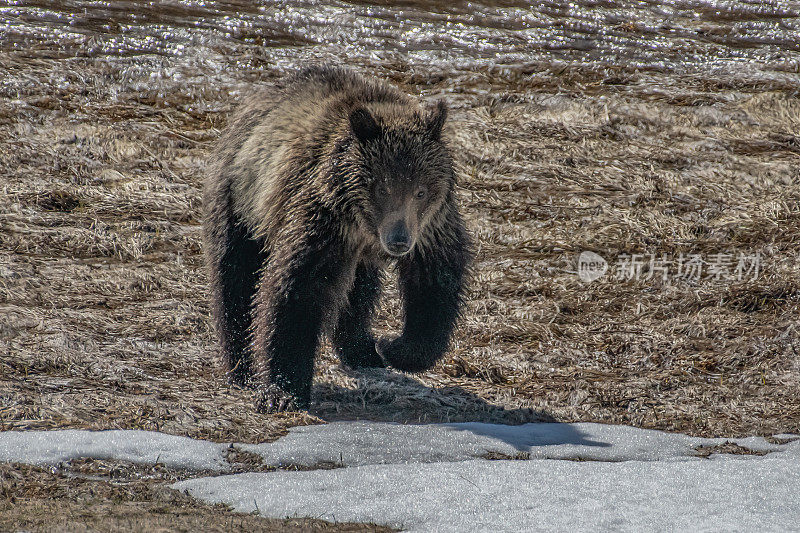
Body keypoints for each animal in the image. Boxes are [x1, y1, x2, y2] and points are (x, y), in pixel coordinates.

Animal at [203, 64, 472, 410]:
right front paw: (284, 390)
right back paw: (242, 367)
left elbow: (435, 283)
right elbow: (299, 289)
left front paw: (394, 347)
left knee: (358, 291)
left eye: (420, 190)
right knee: (234, 277)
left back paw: (363, 350)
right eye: (382, 187)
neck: (363, 226)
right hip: (241, 200)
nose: (399, 240)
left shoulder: (431, 227)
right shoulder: (322, 220)